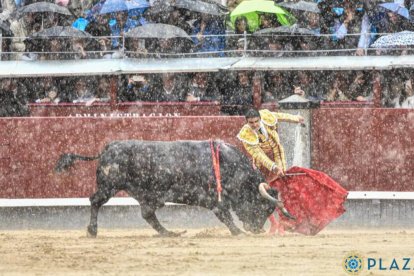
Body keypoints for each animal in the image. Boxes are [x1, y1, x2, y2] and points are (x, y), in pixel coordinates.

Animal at [55, 140, 292, 237]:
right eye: (262, 206)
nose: (257, 229)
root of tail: (109, 147)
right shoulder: (213, 199)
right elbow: (224, 215)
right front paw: (239, 232)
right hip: (109, 186)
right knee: (95, 201)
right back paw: (92, 230)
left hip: (146, 195)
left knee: (148, 214)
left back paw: (171, 233)